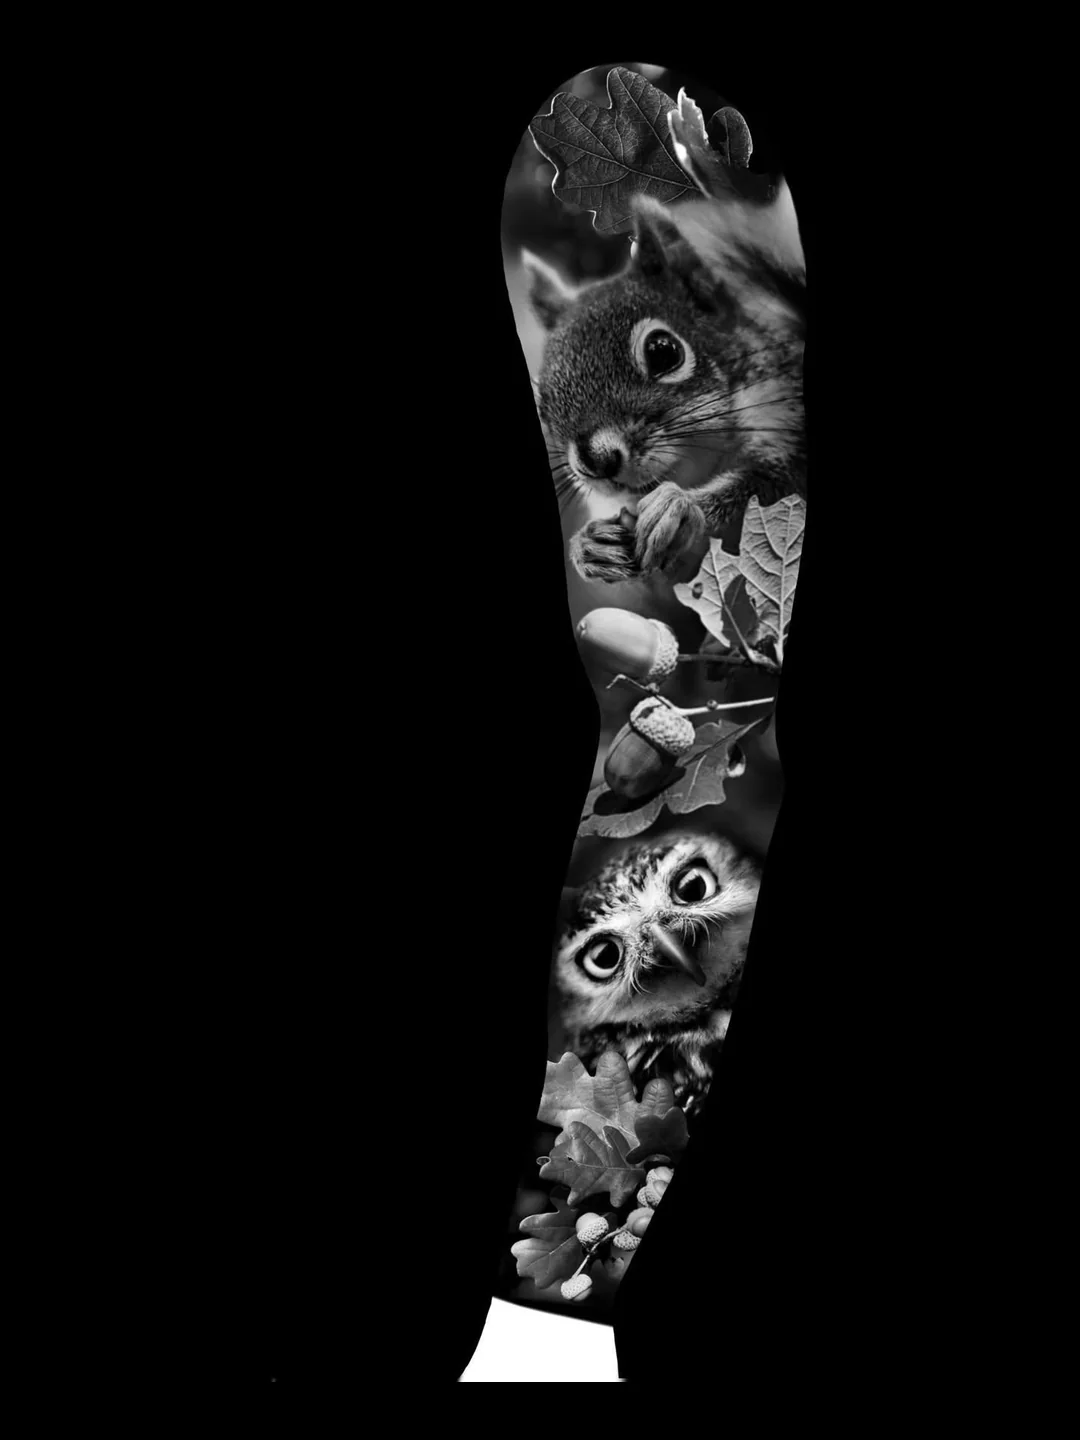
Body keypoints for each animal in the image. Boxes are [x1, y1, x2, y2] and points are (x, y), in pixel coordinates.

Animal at [524, 185, 806, 585]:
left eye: (663, 351)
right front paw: (587, 547)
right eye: (543, 404)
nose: (596, 461)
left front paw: (681, 507)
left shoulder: (789, 421)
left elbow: (770, 489)